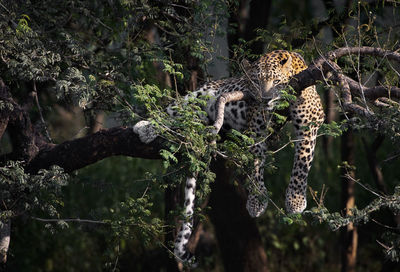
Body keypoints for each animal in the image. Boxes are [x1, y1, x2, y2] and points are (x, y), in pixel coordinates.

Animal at [133, 50, 324, 264]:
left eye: (276, 81)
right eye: (256, 81)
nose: (266, 99)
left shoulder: (311, 120)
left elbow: (302, 162)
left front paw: (295, 200)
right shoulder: (255, 127)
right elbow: (256, 165)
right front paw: (257, 201)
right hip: (194, 97)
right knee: (170, 112)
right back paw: (146, 127)